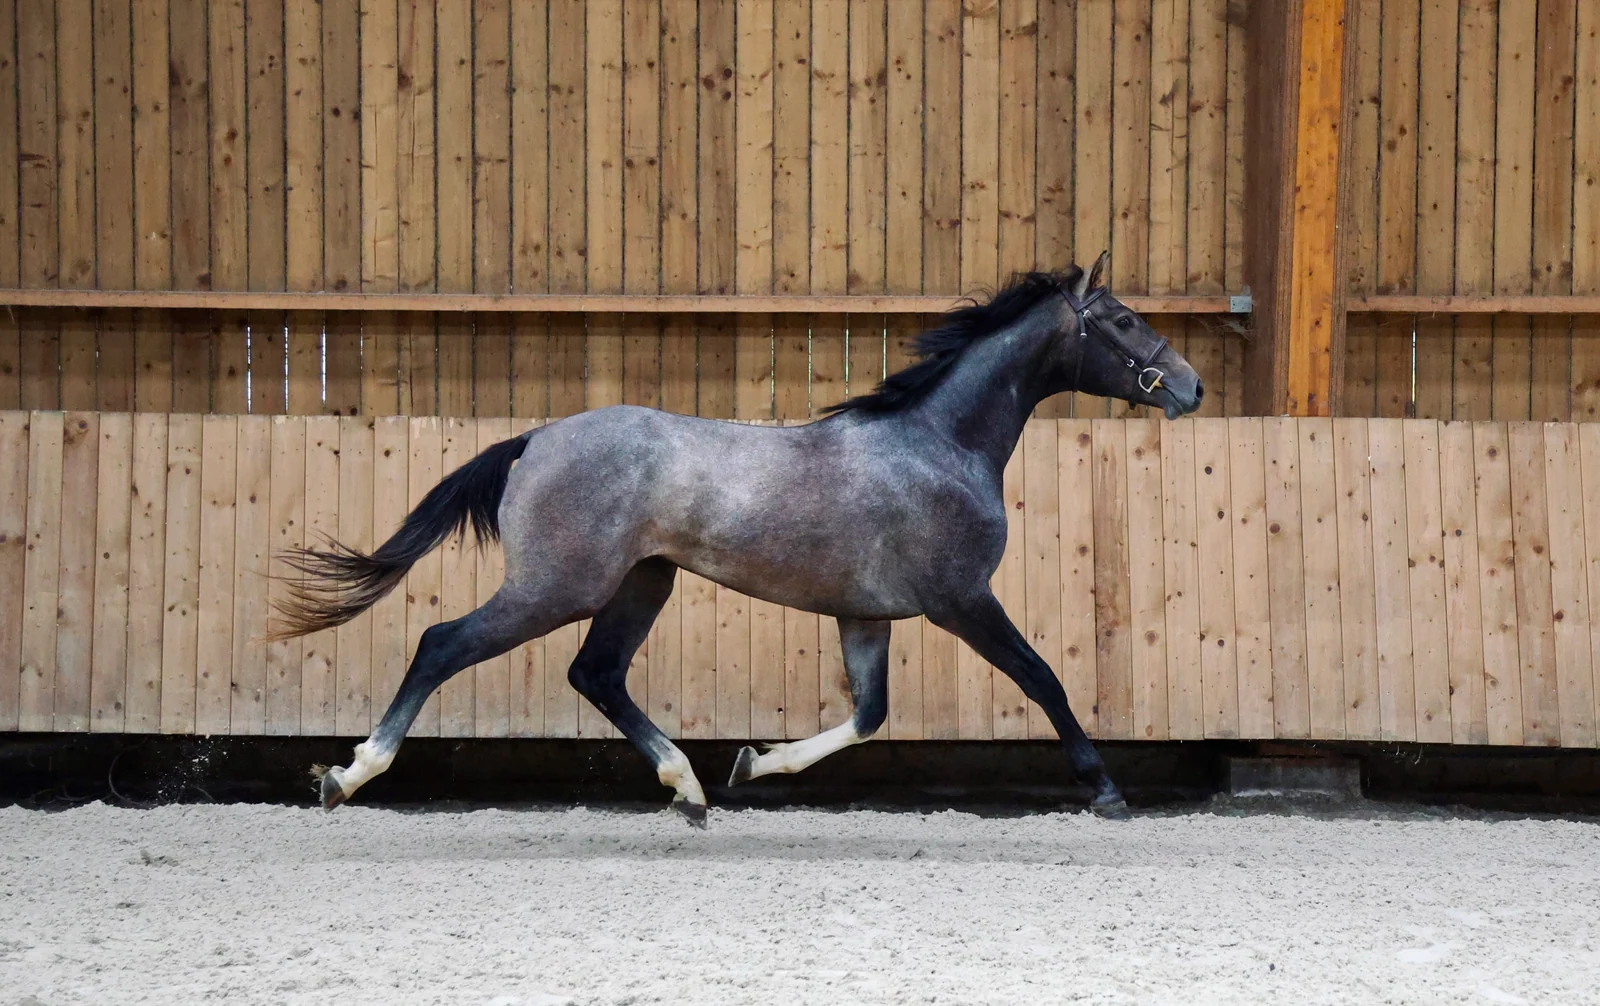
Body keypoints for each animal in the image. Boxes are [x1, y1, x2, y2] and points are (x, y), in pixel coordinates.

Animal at [272, 252, 1204, 825]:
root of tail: (533, 440)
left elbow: (868, 714)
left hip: (643, 581)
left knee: (595, 673)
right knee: (442, 644)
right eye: (1122, 321)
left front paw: (753, 765)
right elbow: (1042, 678)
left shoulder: (868, 615)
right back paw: (347, 775)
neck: (940, 443)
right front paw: (1104, 788)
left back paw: (688, 787)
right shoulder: (961, 601)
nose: (1191, 386)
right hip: (558, 587)